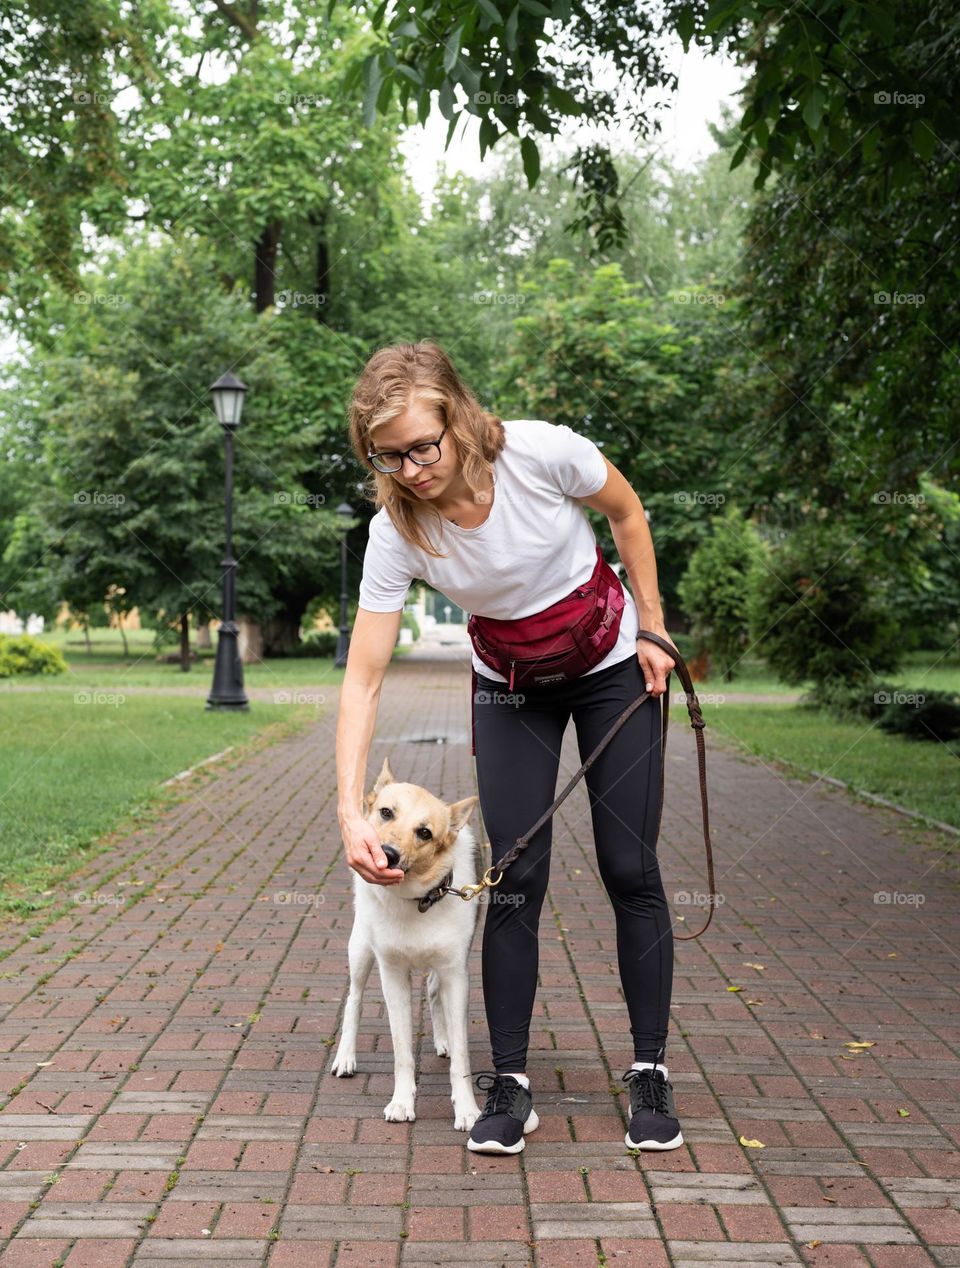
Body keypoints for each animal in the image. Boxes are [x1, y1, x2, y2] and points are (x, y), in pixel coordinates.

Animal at [329, 755, 481, 1136]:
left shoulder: (456, 973)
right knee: (353, 999)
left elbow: (461, 1055)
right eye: (386, 812)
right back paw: (345, 1057)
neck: (416, 900)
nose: (387, 854)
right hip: (360, 948)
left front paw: (467, 1109)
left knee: (433, 990)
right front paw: (401, 1102)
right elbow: (402, 1052)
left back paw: (441, 1039)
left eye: (425, 832)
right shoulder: (392, 974)